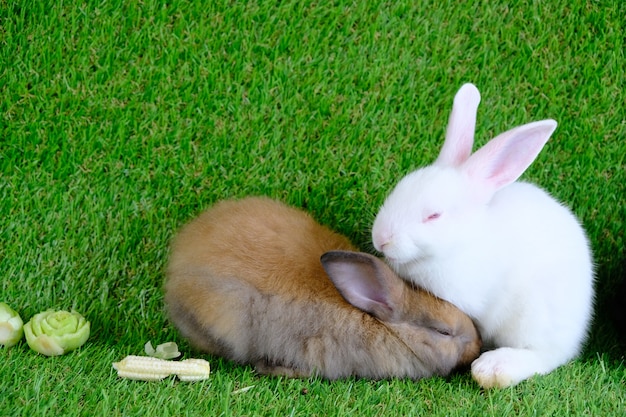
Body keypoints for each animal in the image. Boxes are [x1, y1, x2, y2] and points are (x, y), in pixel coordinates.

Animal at [372, 83, 592, 388]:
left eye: (434, 216)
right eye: (398, 188)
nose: (380, 238)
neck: (458, 244)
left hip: (534, 319)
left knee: (545, 356)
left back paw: (493, 368)